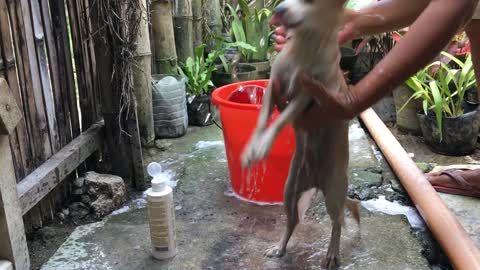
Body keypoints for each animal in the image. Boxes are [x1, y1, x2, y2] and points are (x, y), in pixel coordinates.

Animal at [240, 0, 360, 266]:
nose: (278, 10)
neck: (306, 44)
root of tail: (316, 182)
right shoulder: (273, 87)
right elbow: (262, 121)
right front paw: (253, 147)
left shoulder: (304, 97)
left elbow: (279, 122)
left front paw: (263, 145)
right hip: (290, 192)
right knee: (291, 223)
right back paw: (280, 248)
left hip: (333, 192)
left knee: (338, 222)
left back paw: (332, 253)